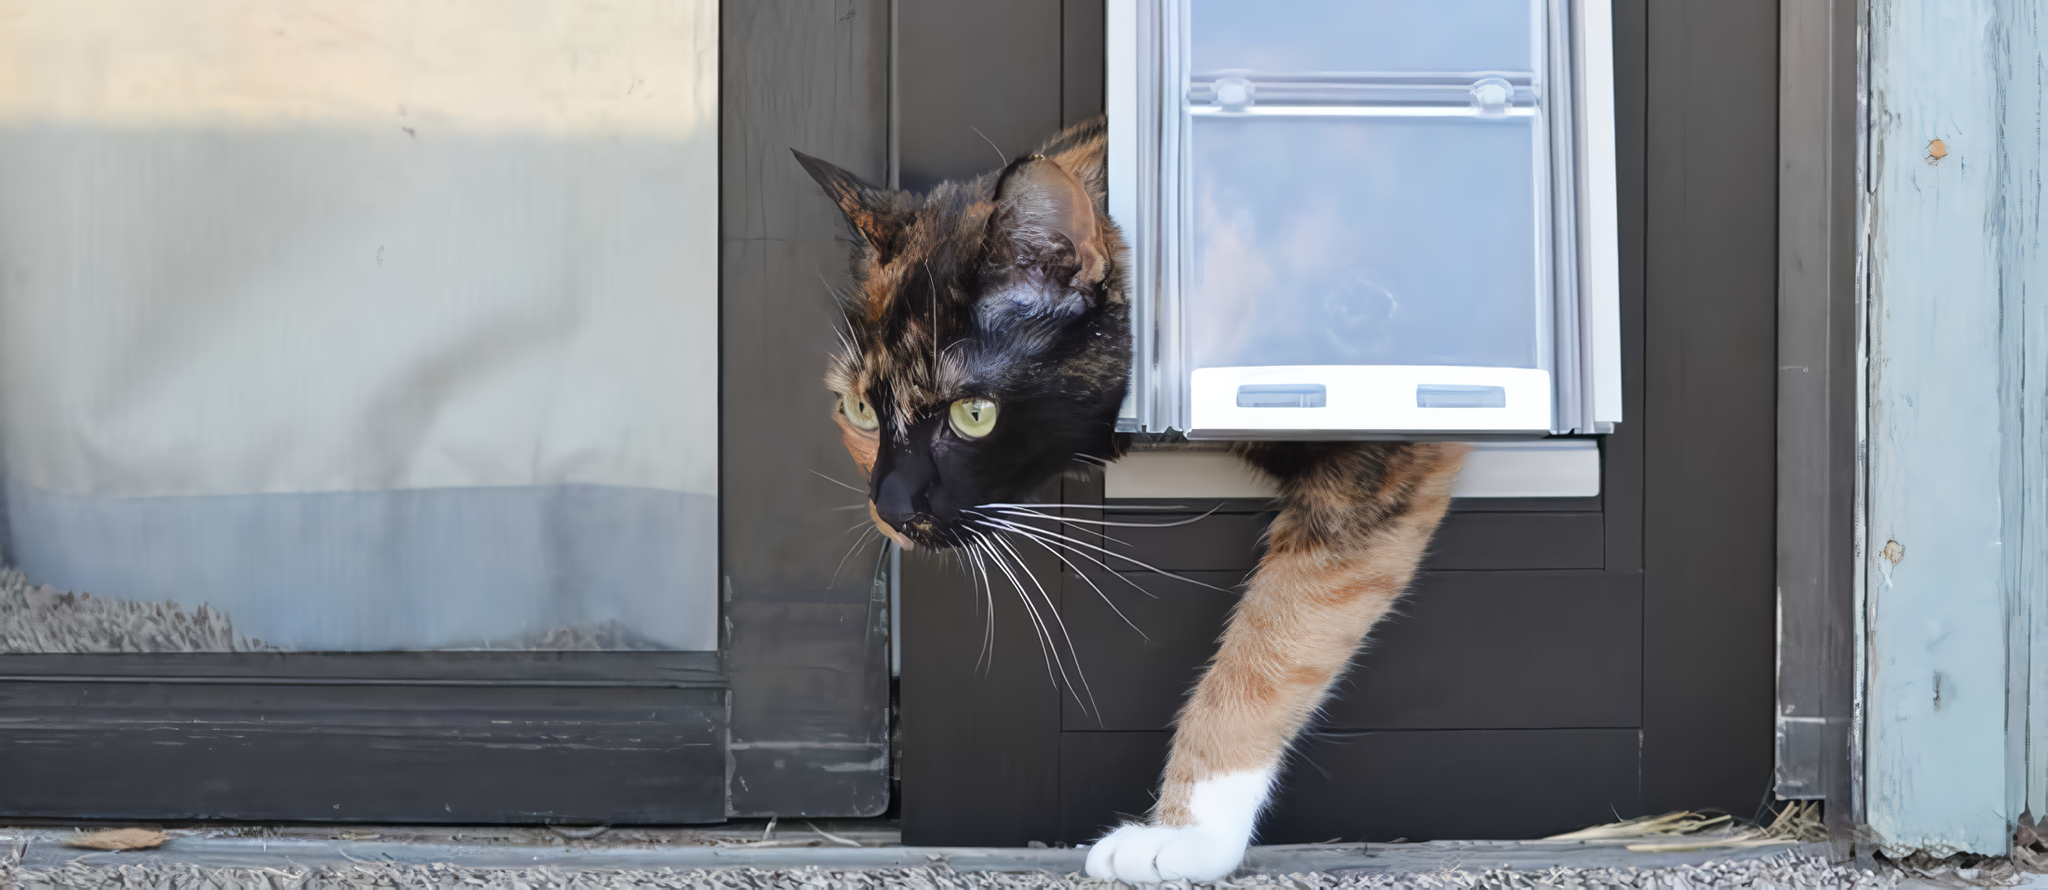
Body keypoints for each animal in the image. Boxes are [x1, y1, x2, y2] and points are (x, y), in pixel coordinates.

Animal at [798, 118, 1474, 883]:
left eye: (974, 415)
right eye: (859, 409)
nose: (889, 506)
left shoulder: (1383, 453)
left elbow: (1273, 643)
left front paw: (1186, 835)